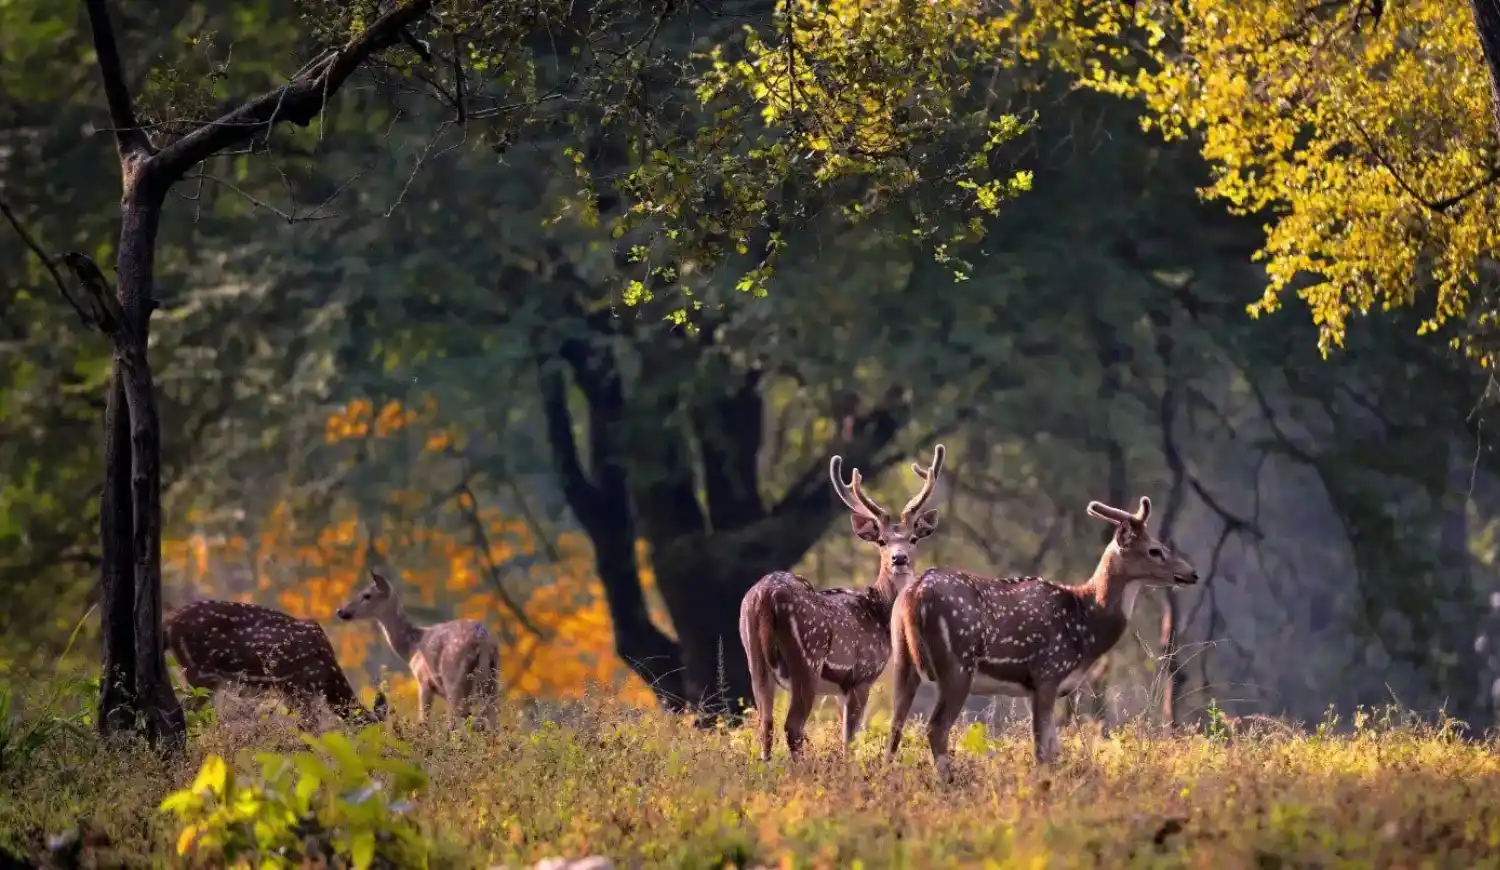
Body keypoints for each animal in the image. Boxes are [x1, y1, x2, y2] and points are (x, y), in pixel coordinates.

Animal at [164, 599, 390, 728]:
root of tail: (170, 622)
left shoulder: (291, 692)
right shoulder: (297, 687)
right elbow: (309, 728)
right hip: (203, 672)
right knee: (183, 709)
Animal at [335, 569, 500, 731]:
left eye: (367, 595)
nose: (340, 611)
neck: (412, 648)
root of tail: (483, 643)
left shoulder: (424, 681)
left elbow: (423, 722)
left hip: (454, 678)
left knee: (461, 720)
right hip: (492, 681)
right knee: (492, 720)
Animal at [738, 444, 946, 760]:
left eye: (913, 539)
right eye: (882, 541)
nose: (899, 559)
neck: (879, 612)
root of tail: (764, 596)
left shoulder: (839, 689)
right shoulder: (861, 676)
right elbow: (850, 738)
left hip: (754, 658)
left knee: (765, 724)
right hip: (806, 660)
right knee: (793, 725)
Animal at [886, 495, 1198, 780]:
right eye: (1155, 550)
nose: (1192, 573)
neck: (1087, 625)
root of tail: (914, 595)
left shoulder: (1034, 687)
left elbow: (1054, 748)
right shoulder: (1048, 672)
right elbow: (1043, 751)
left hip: (903, 657)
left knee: (895, 724)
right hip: (957, 664)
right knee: (936, 728)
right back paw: (948, 782)